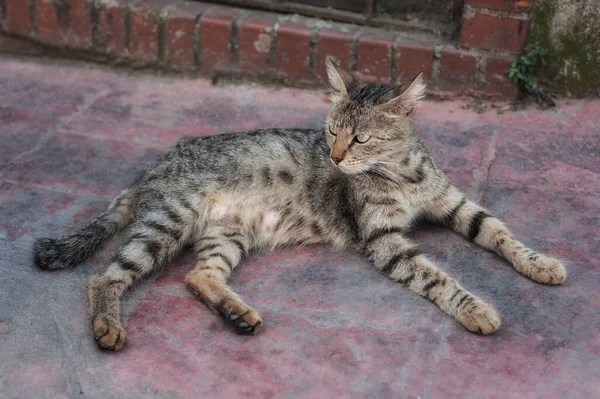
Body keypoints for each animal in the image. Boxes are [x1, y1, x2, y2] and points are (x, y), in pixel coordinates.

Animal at [32, 59, 568, 350]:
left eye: (361, 138)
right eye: (331, 132)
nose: (334, 157)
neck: (402, 173)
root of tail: (150, 169)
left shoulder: (457, 204)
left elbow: (500, 232)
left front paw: (541, 263)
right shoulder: (383, 239)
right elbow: (436, 277)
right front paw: (474, 308)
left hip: (226, 233)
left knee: (198, 276)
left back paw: (237, 314)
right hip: (170, 221)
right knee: (105, 275)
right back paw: (108, 325)